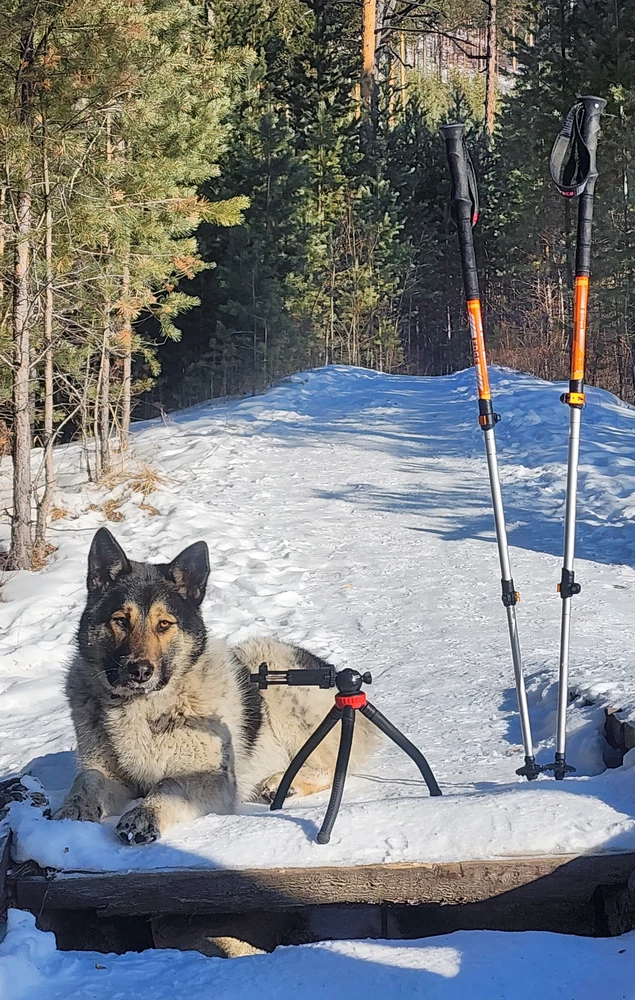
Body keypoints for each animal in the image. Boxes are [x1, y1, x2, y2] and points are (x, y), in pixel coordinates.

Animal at [54, 532, 378, 844]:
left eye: (164, 624)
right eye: (120, 620)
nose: (140, 671)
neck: (143, 706)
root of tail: (330, 669)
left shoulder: (211, 779)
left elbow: (167, 785)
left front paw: (144, 815)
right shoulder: (106, 772)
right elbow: (87, 781)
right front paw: (71, 811)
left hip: (276, 679)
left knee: (333, 767)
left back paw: (283, 783)